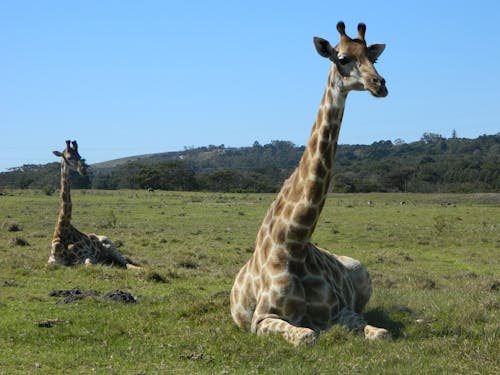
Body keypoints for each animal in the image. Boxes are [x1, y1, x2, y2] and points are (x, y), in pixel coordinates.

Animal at [48, 141, 140, 270]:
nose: (83, 170)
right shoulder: (52, 261)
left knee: (127, 264)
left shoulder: (88, 256)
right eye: (69, 157)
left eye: (80, 156)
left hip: (110, 245)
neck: (61, 232)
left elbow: (89, 264)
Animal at [230, 21, 390, 346]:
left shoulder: (341, 311)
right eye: (342, 58)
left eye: (373, 58)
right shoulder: (260, 319)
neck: (294, 244)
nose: (380, 84)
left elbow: (381, 333)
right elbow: (307, 336)